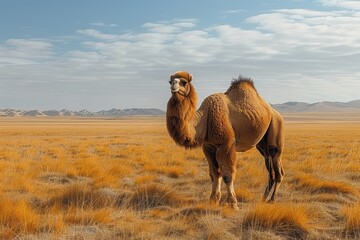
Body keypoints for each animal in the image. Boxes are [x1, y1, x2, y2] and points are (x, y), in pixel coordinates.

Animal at [167, 71, 286, 208]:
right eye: (170, 81)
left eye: (184, 82)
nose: (173, 85)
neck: (206, 117)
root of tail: (276, 113)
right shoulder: (208, 146)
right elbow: (214, 174)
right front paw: (213, 200)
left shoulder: (226, 144)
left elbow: (227, 175)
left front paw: (233, 203)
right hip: (262, 145)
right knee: (270, 169)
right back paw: (264, 198)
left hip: (276, 131)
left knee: (278, 170)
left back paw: (272, 199)